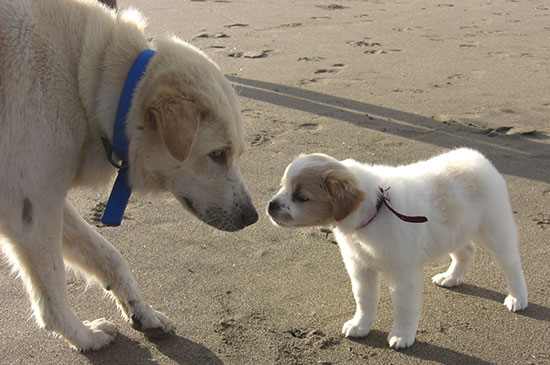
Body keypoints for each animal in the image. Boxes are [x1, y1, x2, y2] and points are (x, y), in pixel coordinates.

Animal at [0, 0, 258, 350]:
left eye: (237, 154)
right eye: (217, 155)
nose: (253, 216)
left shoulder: (47, 198)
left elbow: (109, 255)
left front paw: (142, 312)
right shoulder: (31, 212)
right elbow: (52, 298)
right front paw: (84, 337)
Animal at [270, 148, 528, 346]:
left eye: (301, 197)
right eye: (282, 187)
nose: (270, 206)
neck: (376, 208)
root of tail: (477, 157)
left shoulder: (403, 273)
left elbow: (404, 307)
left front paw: (402, 336)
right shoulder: (360, 267)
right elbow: (364, 299)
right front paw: (360, 325)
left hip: (496, 231)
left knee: (512, 265)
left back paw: (517, 298)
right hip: (453, 231)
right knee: (466, 251)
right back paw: (451, 277)